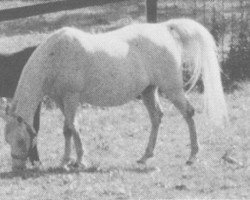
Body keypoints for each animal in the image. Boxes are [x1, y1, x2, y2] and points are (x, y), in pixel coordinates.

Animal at [2, 18, 228, 170]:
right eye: (7, 140)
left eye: (21, 140)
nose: (17, 168)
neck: (55, 56)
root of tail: (164, 28)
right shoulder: (61, 100)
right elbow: (72, 129)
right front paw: (74, 160)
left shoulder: (71, 98)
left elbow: (69, 128)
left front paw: (71, 161)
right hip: (148, 91)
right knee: (156, 117)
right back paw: (145, 156)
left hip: (171, 88)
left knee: (188, 113)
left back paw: (192, 156)